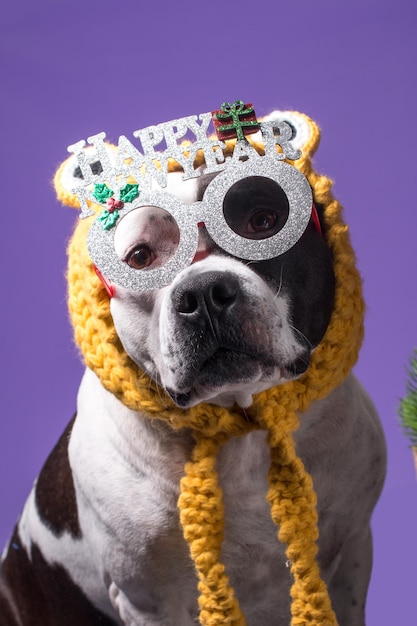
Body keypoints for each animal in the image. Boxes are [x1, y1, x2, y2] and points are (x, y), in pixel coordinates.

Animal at [0, 109, 386, 620]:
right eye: (140, 257)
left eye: (263, 222)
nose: (202, 294)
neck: (239, 426)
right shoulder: (149, 601)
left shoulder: (351, 555)